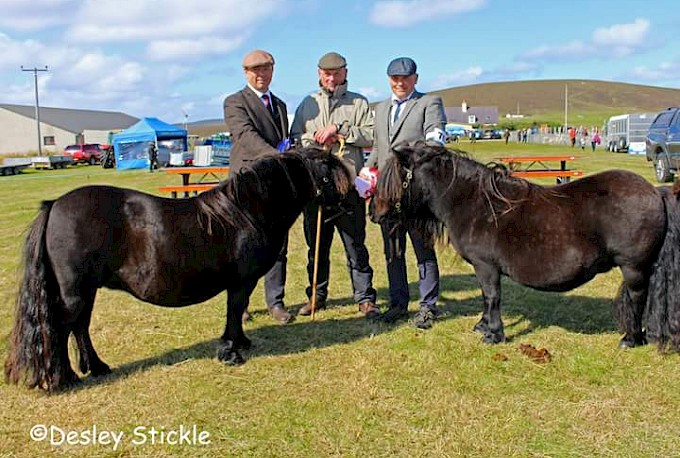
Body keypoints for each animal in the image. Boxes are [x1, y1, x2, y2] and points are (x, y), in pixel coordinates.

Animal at [5, 148, 354, 392]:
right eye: (331, 174)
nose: (349, 206)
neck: (246, 212)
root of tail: (54, 205)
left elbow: (237, 312)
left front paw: (241, 343)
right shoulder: (240, 281)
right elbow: (234, 311)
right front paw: (230, 352)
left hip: (86, 290)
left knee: (80, 327)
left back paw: (98, 367)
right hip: (74, 292)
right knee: (61, 329)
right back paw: (66, 378)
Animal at [374, 143, 680, 350]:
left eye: (394, 177)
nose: (376, 214)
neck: (474, 202)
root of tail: (655, 192)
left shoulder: (486, 266)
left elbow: (492, 297)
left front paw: (493, 334)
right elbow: (486, 297)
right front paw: (482, 325)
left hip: (633, 267)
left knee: (638, 298)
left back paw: (631, 338)